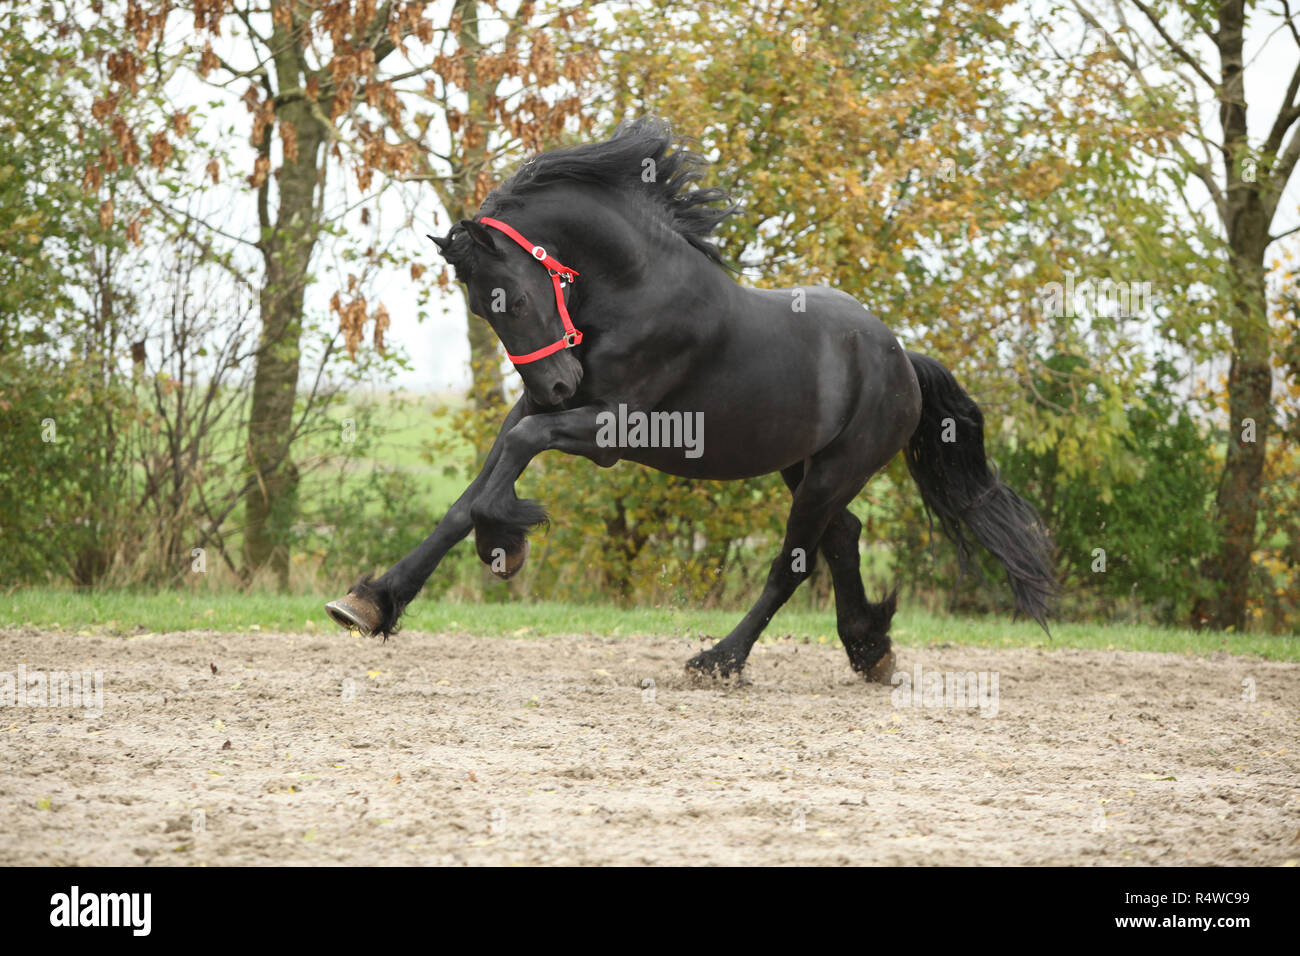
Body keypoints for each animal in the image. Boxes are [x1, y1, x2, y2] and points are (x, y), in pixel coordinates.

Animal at [325, 117, 1056, 681]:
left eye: (512, 299)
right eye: (483, 308)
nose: (556, 383)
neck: (634, 291)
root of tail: (903, 357)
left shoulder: (614, 430)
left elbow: (512, 459)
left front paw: (504, 540)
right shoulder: (543, 411)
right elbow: (474, 487)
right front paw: (374, 600)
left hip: (835, 471)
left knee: (793, 564)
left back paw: (720, 660)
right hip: (803, 467)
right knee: (844, 539)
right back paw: (868, 649)